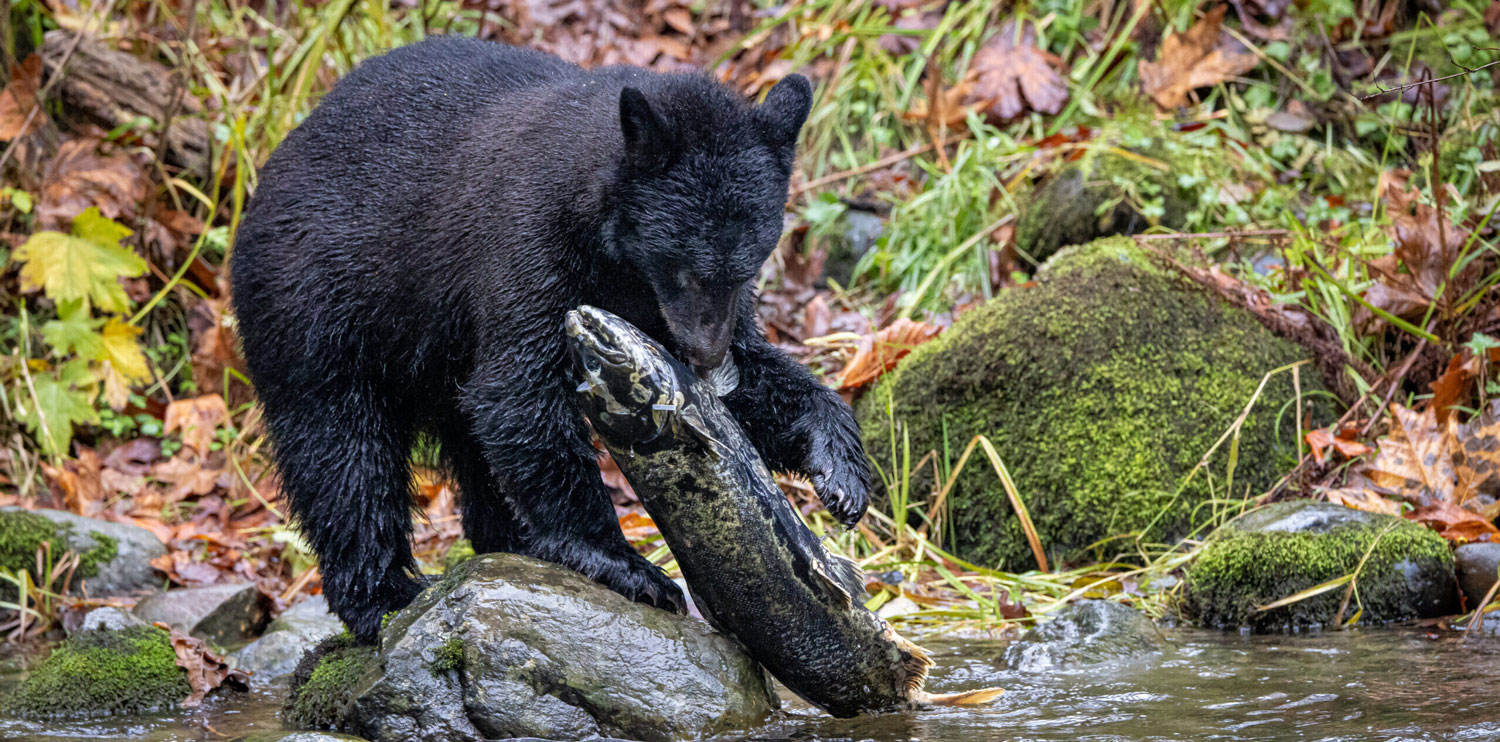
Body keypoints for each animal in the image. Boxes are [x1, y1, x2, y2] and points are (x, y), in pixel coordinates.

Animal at [230, 37, 872, 642]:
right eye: (685, 268)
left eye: (748, 267)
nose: (708, 359)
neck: (616, 255)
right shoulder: (529, 246)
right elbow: (518, 394)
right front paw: (629, 564)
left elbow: (760, 376)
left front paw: (840, 469)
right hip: (318, 308)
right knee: (341, 453)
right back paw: (383, 595)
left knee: (463, 440)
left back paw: (509, 541)